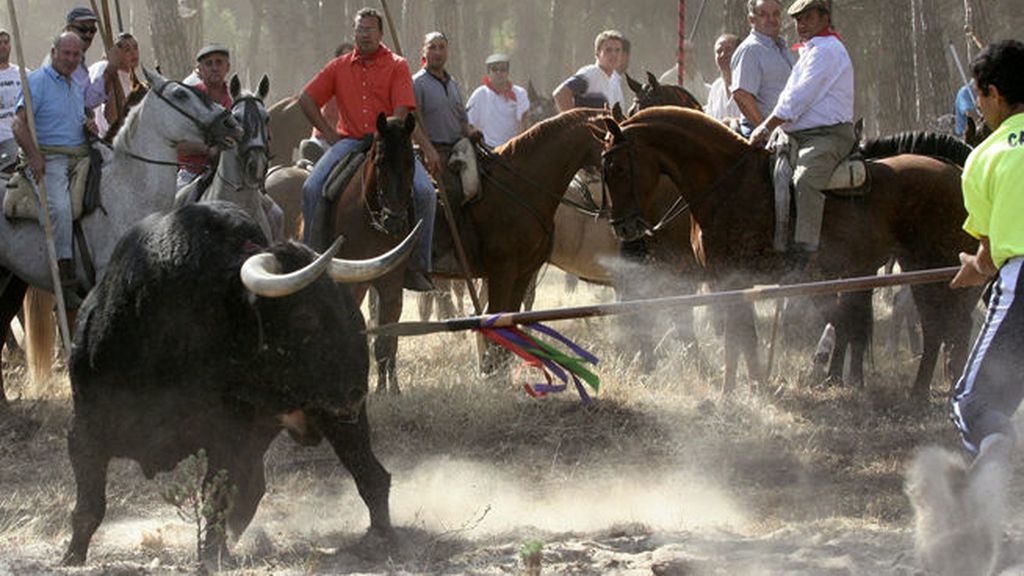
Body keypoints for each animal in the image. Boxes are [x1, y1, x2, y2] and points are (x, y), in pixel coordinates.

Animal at [58, 202, 397, 565]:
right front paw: (71, 557)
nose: (355, 390)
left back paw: (381, 537)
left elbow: (216, 497)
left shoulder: (226, 435)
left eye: (342, 305)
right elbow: (89, 506)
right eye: (305, 316)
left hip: (338, 421)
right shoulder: (83, 431)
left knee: (371, 475)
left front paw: (211, 557)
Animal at [598, 106, 983, 393]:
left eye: (617, 167)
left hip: (936, 266)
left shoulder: (730, 278)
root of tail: (956, 172)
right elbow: (745, 337)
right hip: (919, 268)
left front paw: (732, 391)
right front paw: (752, 387)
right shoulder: (732, 281)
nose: (622, 228)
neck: (727, 183)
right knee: (936, 326)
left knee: (952, 325)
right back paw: (921, 392)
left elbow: (737, 338)